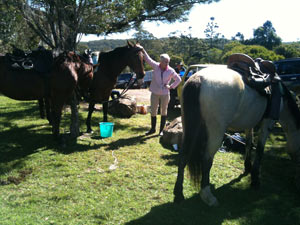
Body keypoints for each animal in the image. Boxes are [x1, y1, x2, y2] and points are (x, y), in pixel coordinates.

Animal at [173, 65, 300, 206]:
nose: (297, 182)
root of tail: (198, 78)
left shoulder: (249, 123)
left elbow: (249, 143)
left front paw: (247, 167)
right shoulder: (268, 123)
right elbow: (260, 149)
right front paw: (255, 180)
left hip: (188, 127)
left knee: (183, 156)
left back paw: (179, 194)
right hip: (216, 132)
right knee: (206, 159)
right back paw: (208, 196)